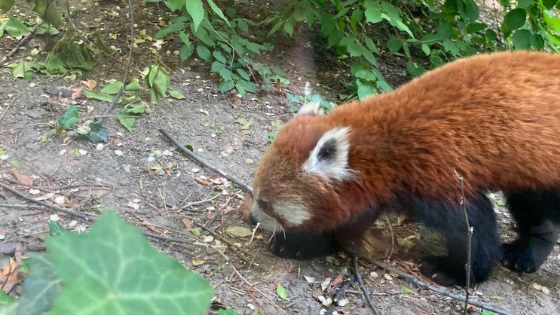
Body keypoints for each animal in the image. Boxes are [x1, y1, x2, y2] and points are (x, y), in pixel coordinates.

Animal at [248, 50, 560, 288]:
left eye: (265, 203)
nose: (251, 219)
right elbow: (351, 220)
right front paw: (303, 244)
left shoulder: (436, 171)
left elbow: (474, 226)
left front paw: (458, 272)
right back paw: (524, 252)